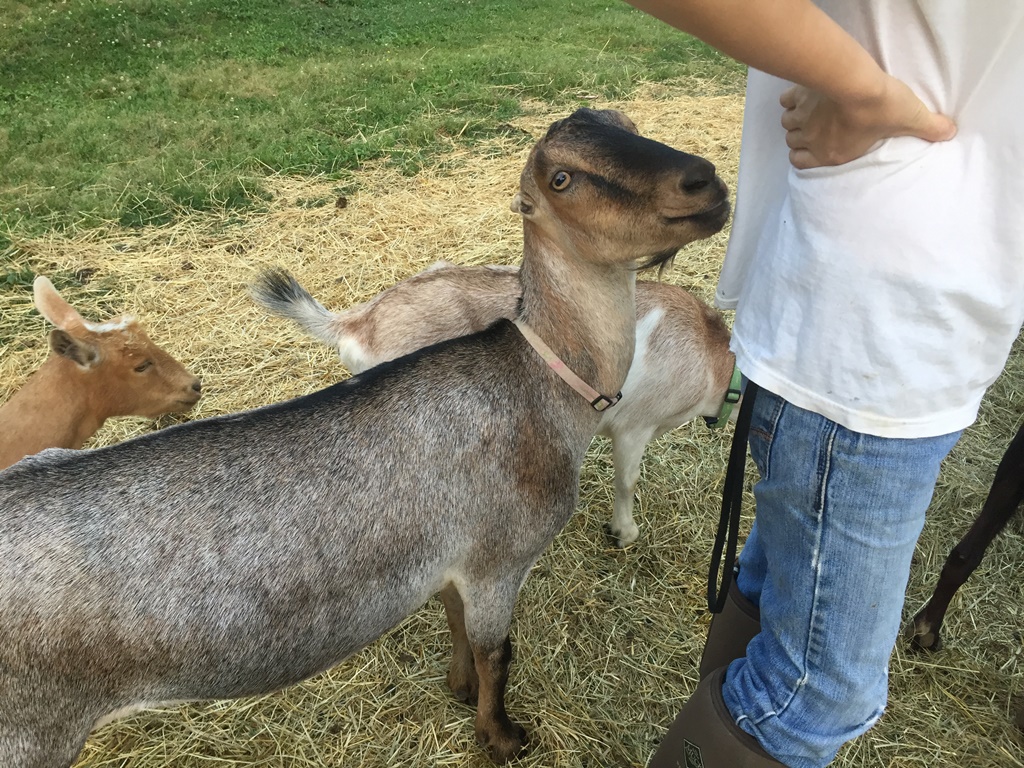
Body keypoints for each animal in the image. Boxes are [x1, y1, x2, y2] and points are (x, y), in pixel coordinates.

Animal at [0, 108, 729, 768]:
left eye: (628, 124)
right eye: (562, 178)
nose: (705, 182)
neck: (538, 377)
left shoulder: (449, 555)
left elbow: (455, 624)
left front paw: (457, 688)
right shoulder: (499, 556)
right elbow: (498, 652)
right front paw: (502, 738)